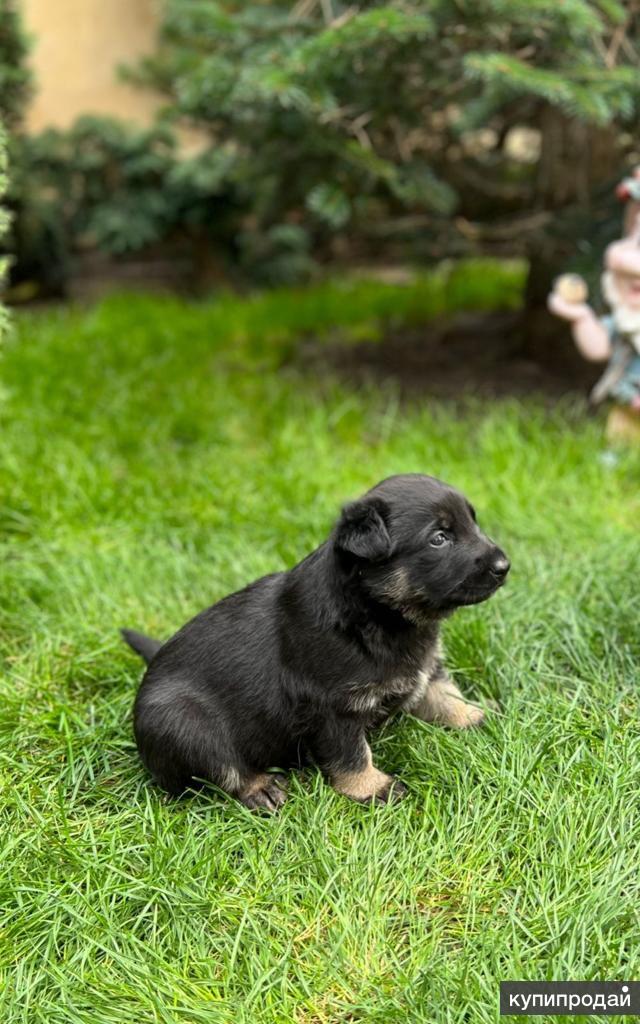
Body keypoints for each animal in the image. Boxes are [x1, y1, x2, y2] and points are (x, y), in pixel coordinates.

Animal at [120, 475, 509, 811]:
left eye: (473, 523)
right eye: (439, 538)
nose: (504, 566)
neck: (379, 613)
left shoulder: (425, 668)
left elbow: (446, 695)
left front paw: (477, 714)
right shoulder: (332, 707)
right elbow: (352, 754)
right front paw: (372, 787)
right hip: (180, 721)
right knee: (220, 767)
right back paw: (260, 788)